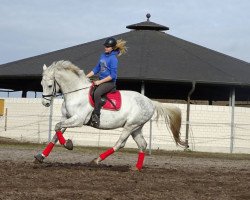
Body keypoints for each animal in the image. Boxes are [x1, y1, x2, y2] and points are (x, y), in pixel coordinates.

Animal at [34, 60, 186, 170]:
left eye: (49, 85)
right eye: (41, 83)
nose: (45, 103)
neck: (76, 93)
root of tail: (150, 102)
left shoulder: (77, 120)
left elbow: (56, 127)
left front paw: (68, 144)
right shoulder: (67, 118)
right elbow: (55, 134)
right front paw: (41, 157)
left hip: (130, 126)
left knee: (120, 144)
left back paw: (97, 160)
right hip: (136, 127)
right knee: (142, 145)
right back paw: (136, 168)